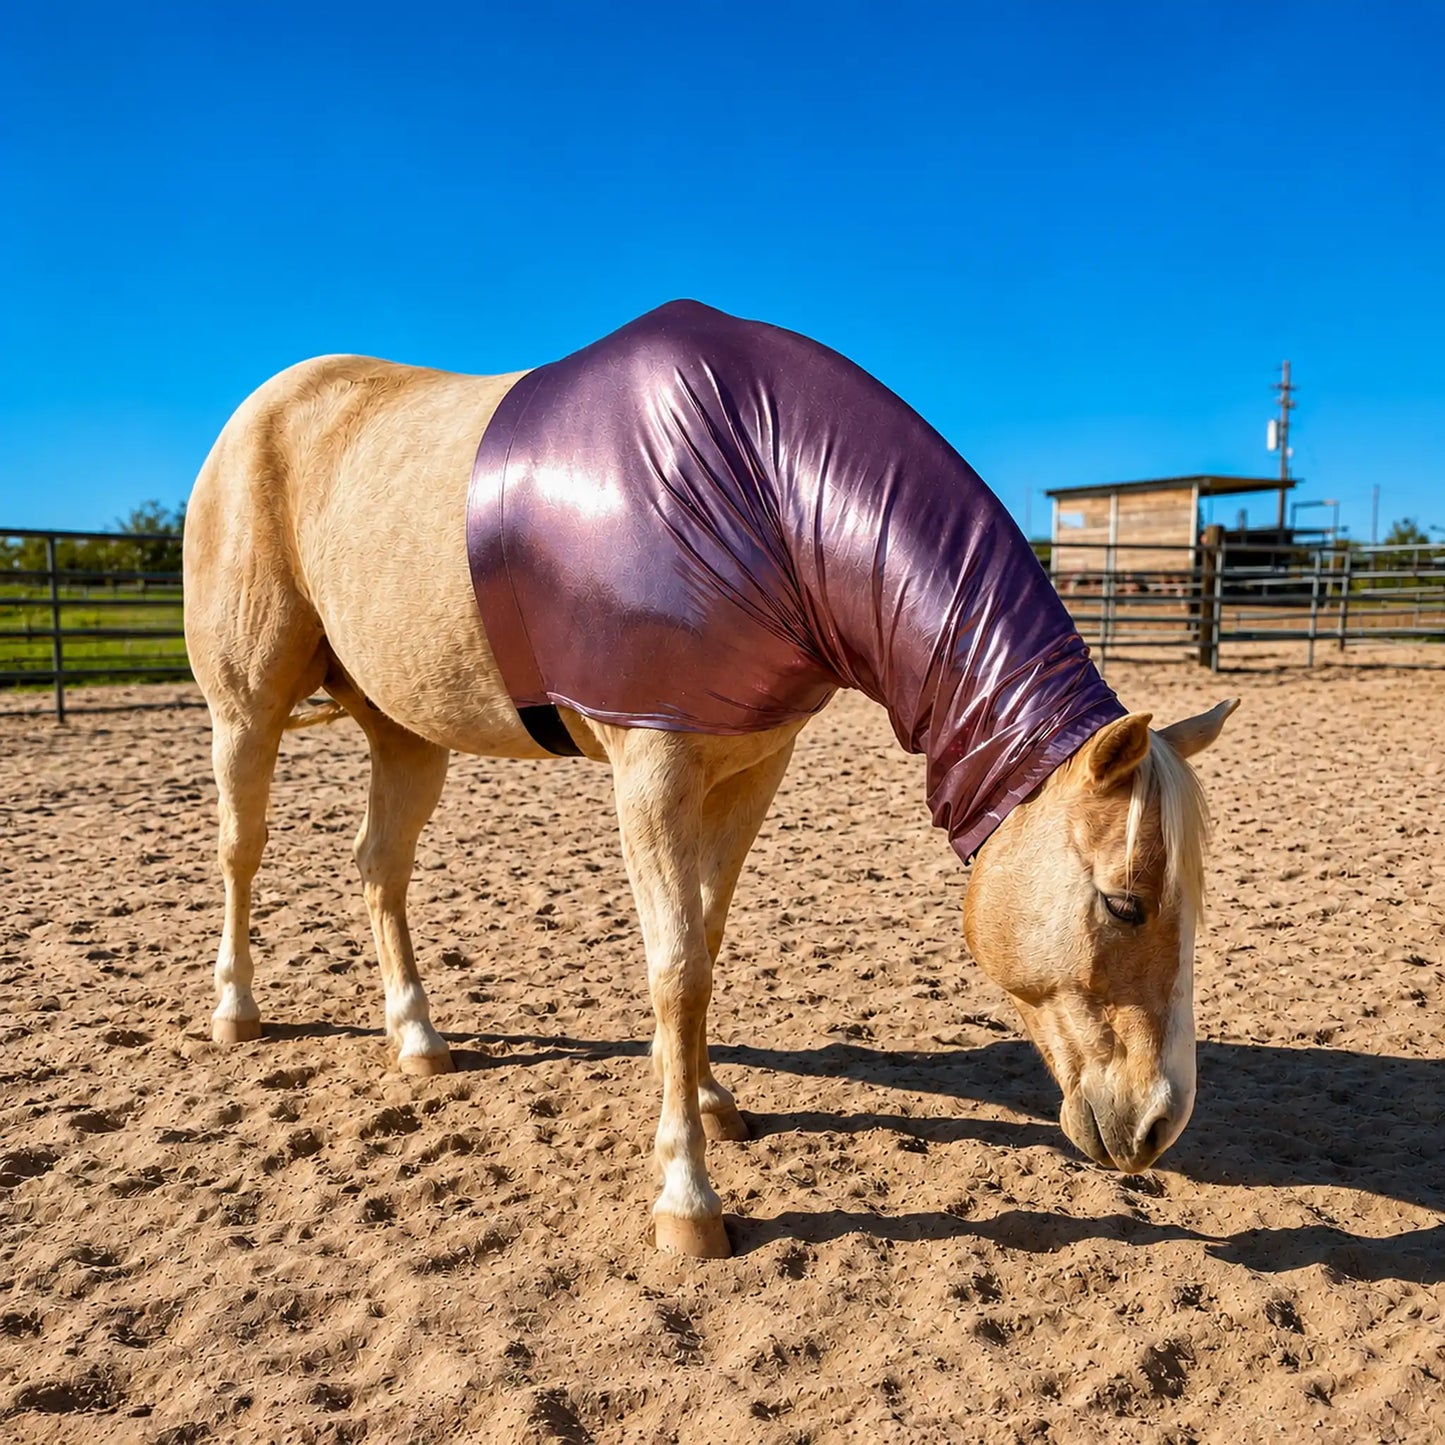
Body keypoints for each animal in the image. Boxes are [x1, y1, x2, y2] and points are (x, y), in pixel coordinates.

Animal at [183, 300, 1237, 1259]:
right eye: (1125, 902)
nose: (1159, 1122)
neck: (756, 486)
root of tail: (257, 412)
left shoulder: (754, 765)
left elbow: (709, 937)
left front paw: (712, 1100)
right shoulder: (651, 767)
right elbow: (676, 968)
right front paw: (686, 1199)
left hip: (406, 734)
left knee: (380, 869)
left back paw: (416, 1039)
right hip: (245, 712)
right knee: (241, 850)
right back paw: (237, 1011)